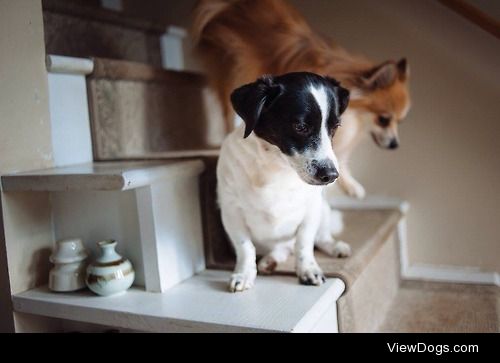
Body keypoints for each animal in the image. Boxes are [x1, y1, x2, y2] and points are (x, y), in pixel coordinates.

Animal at [218, 72, 352, 292]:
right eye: (300, 127)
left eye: (335, 127)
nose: (332, 175)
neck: (277, 165)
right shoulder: (231, 212)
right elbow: (245, 247)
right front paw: (244, 274)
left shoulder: (311, 210)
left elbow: (304, 244)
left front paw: (308, 269)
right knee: (283, 249)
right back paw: (269, 261)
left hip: (323, 208)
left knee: (320, 238)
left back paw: (335, 247)